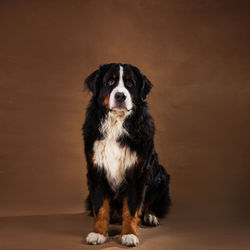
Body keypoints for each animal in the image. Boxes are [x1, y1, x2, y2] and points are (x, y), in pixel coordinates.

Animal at [83, 62, 171, 246]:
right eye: (110, 81)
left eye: (130, 84)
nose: (120, 96)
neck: (117, 123)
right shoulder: (96, 170)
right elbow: (100, 207)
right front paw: (98, 233)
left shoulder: (137, 172)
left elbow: (131, 208)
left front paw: (129, 234)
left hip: (161, 176)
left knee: (152, 204)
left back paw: (150, 216)